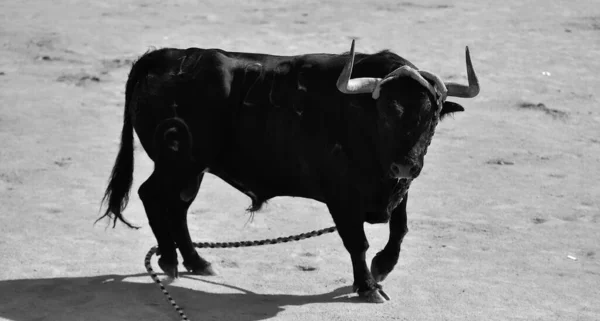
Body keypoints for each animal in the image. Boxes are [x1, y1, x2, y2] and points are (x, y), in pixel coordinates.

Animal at [101, 40, 480, 302]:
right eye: (386, 111)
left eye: (432, 115)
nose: (406, 164)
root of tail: (165, 56)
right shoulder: (341, 198)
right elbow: (357, 241)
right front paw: (368, 286)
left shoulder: (398, 189)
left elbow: (399, 229)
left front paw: (382, 267)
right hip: (178, 162)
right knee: (151, 195)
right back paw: (169, 259)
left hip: (192, 169)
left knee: (177, 206)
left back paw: (196, 261)